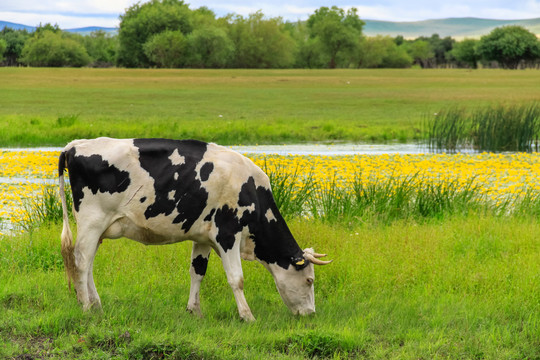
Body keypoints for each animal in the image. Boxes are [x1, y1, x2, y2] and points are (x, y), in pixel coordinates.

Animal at [58, 137, 330, 320]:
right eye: (309, 280)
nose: (311, 313)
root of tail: (74, 145)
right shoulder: (227, 234)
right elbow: (237, 279)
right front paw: (247, 315)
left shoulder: (203, 237)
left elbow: (197, 272)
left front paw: (194, 311)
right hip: (92, 221)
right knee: (81, 261)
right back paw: (86, 307)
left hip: (98, 228)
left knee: (88, 264)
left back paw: (96, 305)